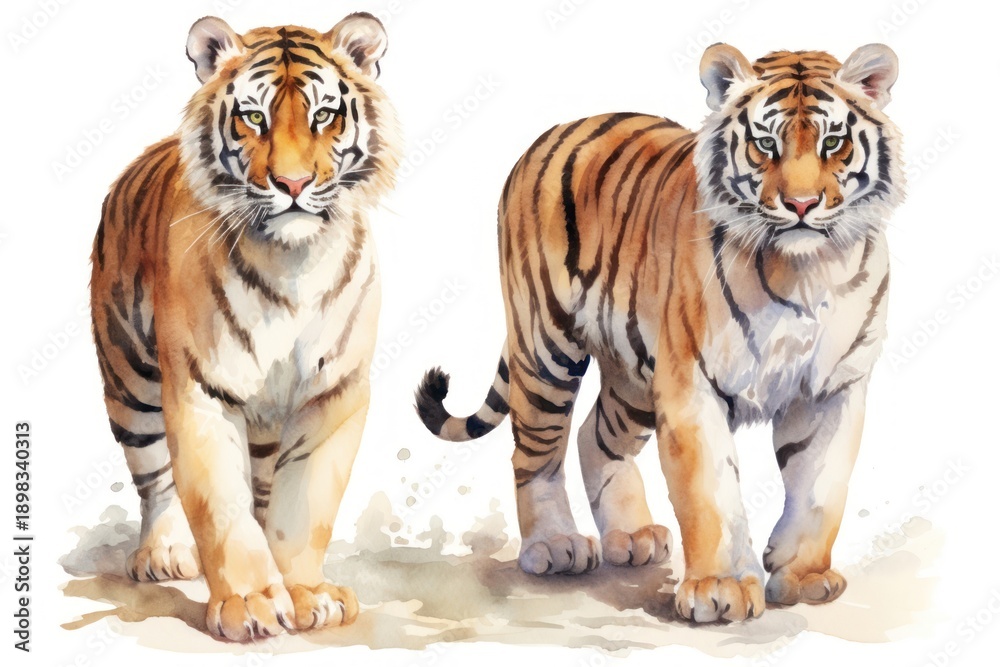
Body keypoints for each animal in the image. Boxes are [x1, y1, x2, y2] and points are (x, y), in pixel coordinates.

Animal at [90, 13, 400, 641]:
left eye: (323, 115)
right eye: (253, 116)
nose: (293, 184)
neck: (293, 260)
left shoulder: (334, 393)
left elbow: (302, 509)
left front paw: (307, 594)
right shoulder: (201, 390)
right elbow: (220, 507)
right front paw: (252, 603)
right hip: (129, 381)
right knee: (153, 475)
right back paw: (163, 553)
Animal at [416, 43, 902, 623]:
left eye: (833, 142)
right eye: (765, 143)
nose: (802, 205)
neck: (806, 269)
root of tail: (557, 129)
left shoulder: (834, 389)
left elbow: (821, 489)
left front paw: (803, 577)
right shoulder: (693, 384)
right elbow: (710, 492)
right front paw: (719, 589)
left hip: (633, 375)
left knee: (595, 436)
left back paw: (631, 536)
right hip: (546, 347)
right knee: (534, 453)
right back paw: (555, 545)